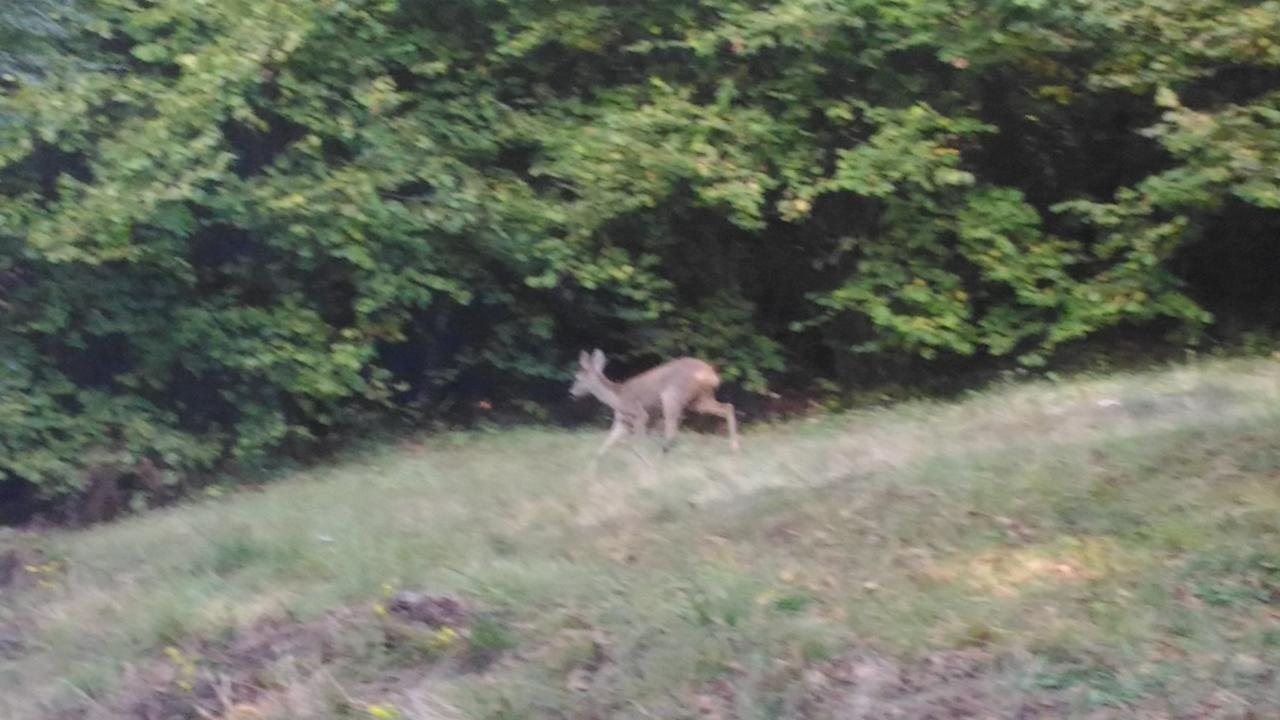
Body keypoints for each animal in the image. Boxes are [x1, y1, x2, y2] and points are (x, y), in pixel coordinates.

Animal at [570, 348, 742, 458]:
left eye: (578, 378)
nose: (571, 393)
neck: (617, 397)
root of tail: (711, 374)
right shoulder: (621, 421)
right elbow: (604, 445)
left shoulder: (640, 414)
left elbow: (637, 444)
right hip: (700, 399)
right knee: (728, 407)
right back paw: (734, 447)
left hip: (672, 395)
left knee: (672, 429)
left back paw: (661, 455)